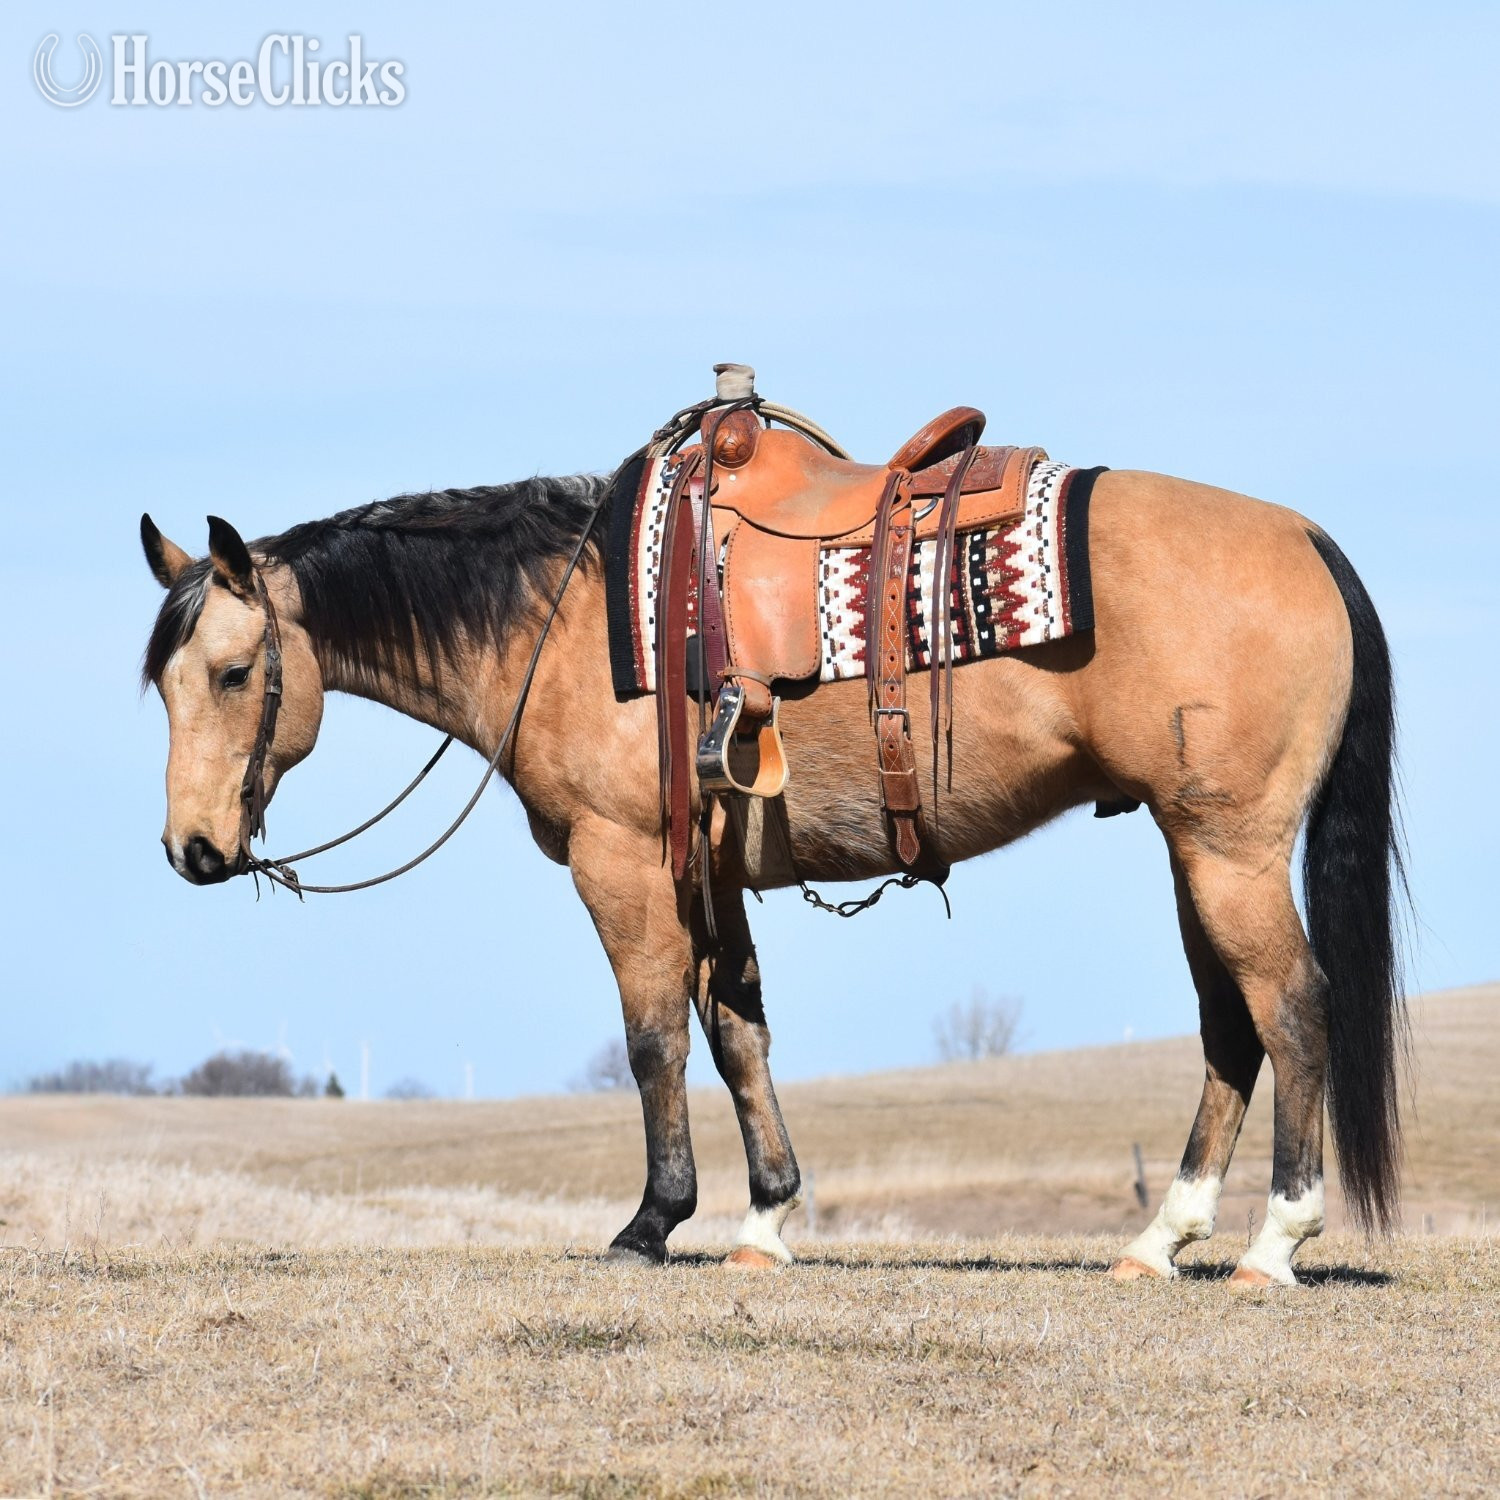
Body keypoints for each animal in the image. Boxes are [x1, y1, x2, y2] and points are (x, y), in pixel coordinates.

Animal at [138, 452, 1405, 1288]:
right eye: (164, 680)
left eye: (238, 671)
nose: (192, 850)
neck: (564, 618)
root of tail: (1306, 540)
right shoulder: (713, 883)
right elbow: (739, 1036)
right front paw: (766, 1221)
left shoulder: (621, 864)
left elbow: (654, 1037)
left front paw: (654, 1220)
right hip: (1193, 849)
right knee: (1231, 1025)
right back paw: (1160, 1239)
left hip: (1229, 850)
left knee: (1292, 1007)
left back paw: (1275, 1241)